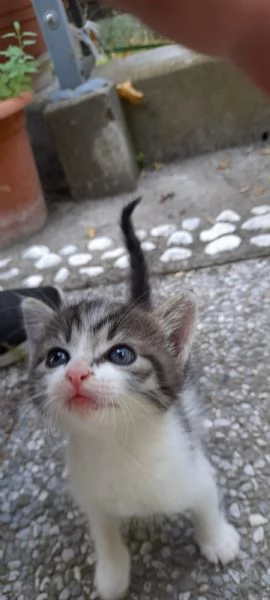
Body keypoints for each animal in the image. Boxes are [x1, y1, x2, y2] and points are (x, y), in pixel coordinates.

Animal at [22, 200, 239, 600]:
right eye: (56, 357)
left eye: (121, 354)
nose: (76, 372)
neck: (119, 446)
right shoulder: (90, 492)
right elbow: (103, 531)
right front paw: (111, 573)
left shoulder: (192, 468)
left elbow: (207, 502)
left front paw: (217, 540)